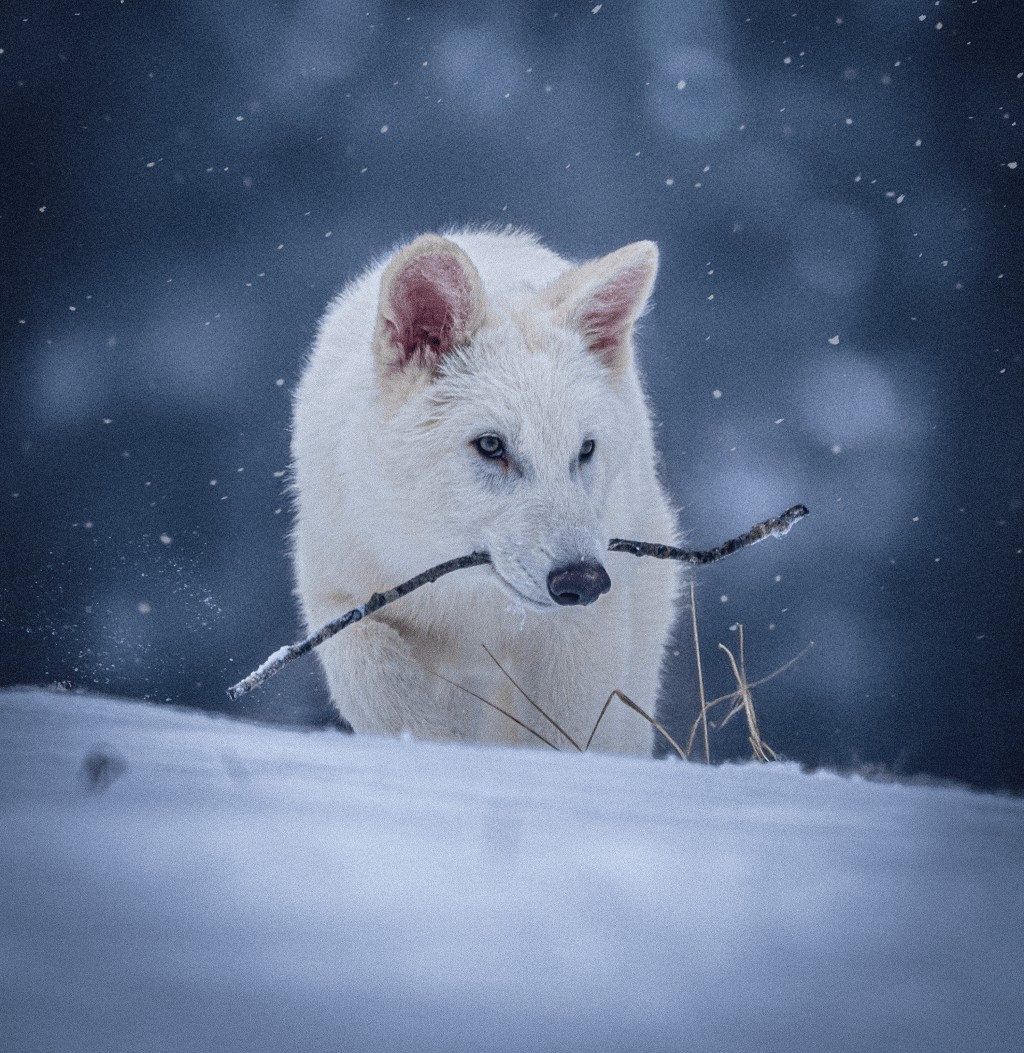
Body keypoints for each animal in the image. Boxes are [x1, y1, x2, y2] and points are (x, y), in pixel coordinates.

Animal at [291, 229, 680, 755]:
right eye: (491, 445)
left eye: (584, 450)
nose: (583, 580)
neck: (470, 601)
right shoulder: (340, 597)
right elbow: (380, 684)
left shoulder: (580, 635)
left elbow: (567, 734)